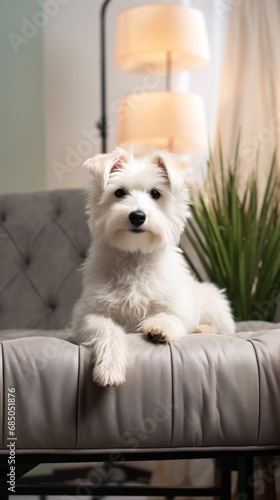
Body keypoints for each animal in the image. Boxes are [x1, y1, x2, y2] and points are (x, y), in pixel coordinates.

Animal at [71, 147, 235, 386]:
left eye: (156, 193)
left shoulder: (177, 309)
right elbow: (107, 329)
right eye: (119, 193)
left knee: (225, 328)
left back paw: (202, 328)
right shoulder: (87, 316)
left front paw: (159, 329)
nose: (137, 216)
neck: (135, 255)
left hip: (214, 303)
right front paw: (109, 369)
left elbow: (170, 318)